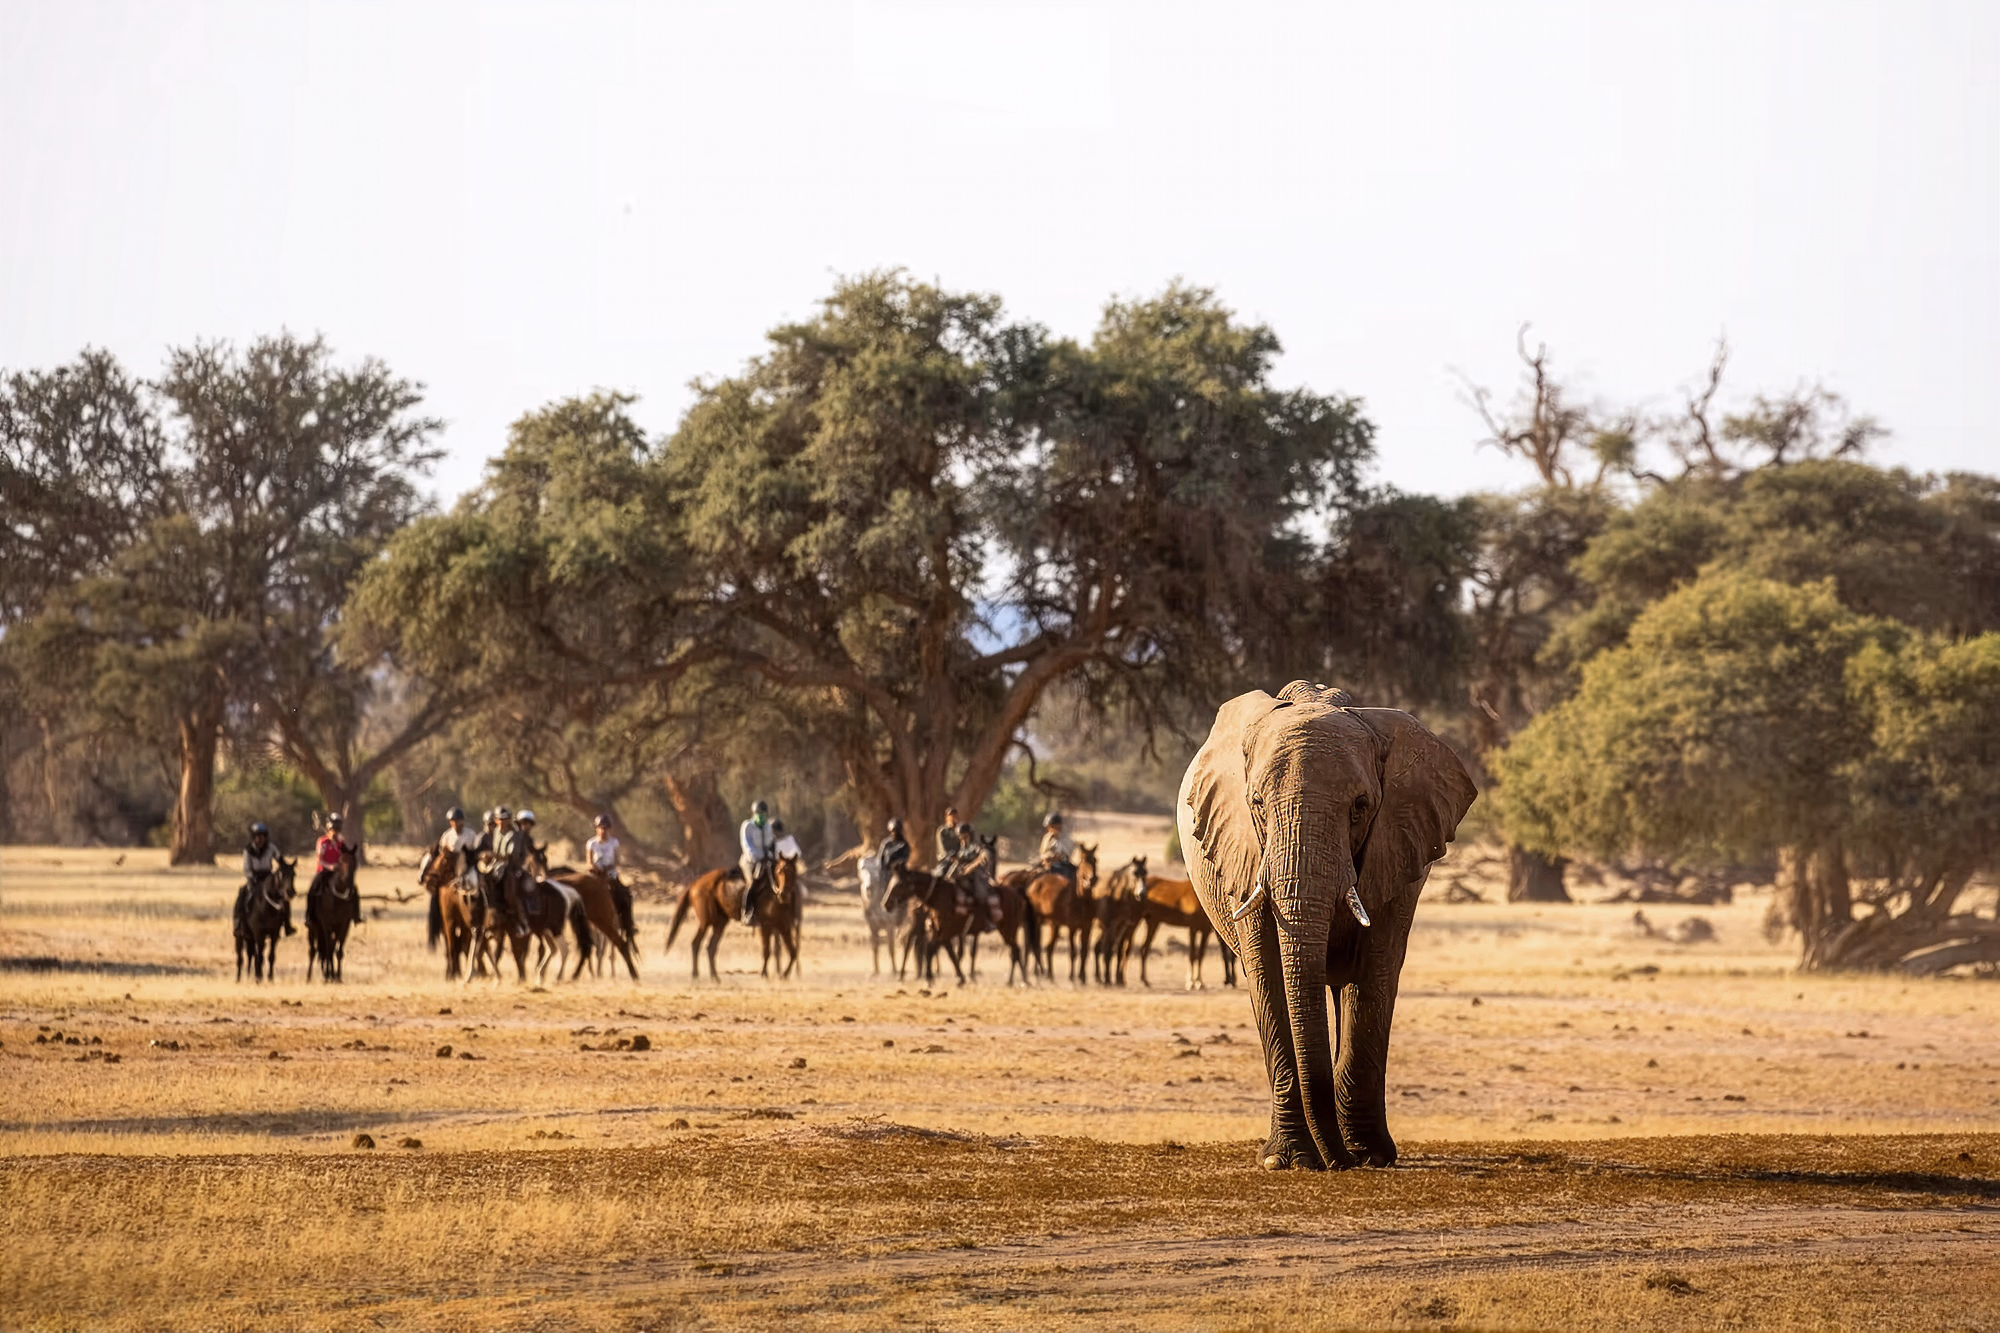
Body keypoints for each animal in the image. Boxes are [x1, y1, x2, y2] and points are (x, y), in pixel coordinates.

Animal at [1176, 681, 1476, 1171]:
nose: (1338, 1162)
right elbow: (1269, 978)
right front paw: (1288, 1160)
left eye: (1361, 806)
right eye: (1256, 803)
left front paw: (1370, 1156)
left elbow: (1374, 976)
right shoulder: (1244, 854)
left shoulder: (1398, 848)